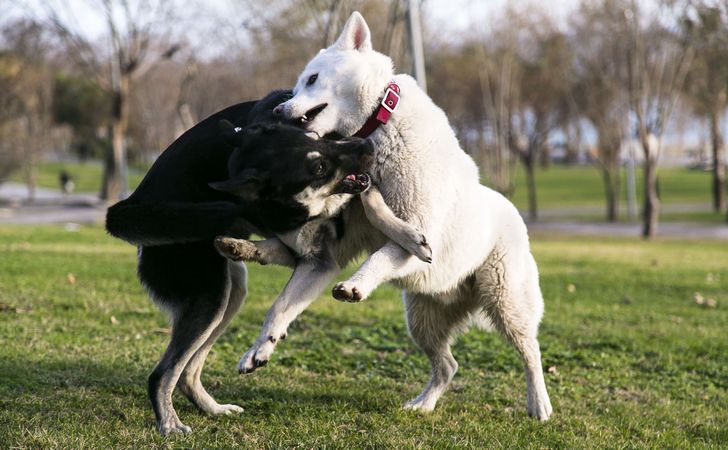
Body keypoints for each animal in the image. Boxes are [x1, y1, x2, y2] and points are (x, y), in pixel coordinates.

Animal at [230, 9, 556, 418]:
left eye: (312, 79)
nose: (278, 109)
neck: (376, 124)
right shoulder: (325, 255)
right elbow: (279, 308)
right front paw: (258, 350)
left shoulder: (415, 225)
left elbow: (383, 252)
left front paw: (356, 284)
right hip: (422, 319)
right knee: (448, 365)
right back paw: (423, 404)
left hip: (508, 305)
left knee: (531, 353)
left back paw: (539, 405)